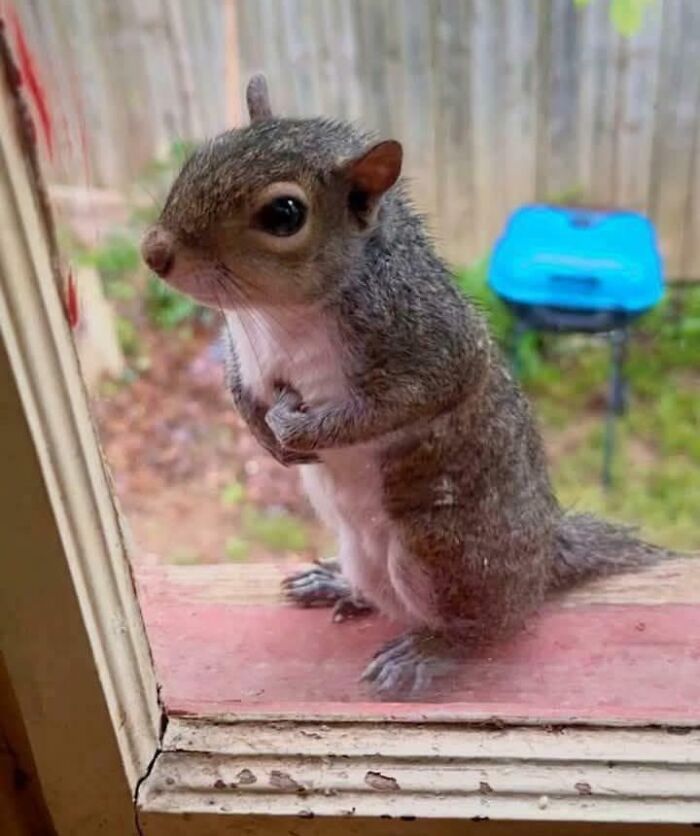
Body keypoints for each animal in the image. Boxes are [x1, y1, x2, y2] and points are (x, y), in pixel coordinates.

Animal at [141, 75, 672, 698]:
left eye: (284, 214)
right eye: (203, 155)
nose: (153, 252)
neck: (273, 314)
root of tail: (542, 561)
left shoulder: (431, 343)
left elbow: (395, 404)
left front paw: (295, 428)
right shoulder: (243, 351)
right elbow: (237, 386)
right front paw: (262, 434)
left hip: (444, 551)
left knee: (486, 628)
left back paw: (430, 650)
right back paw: (337, 584)